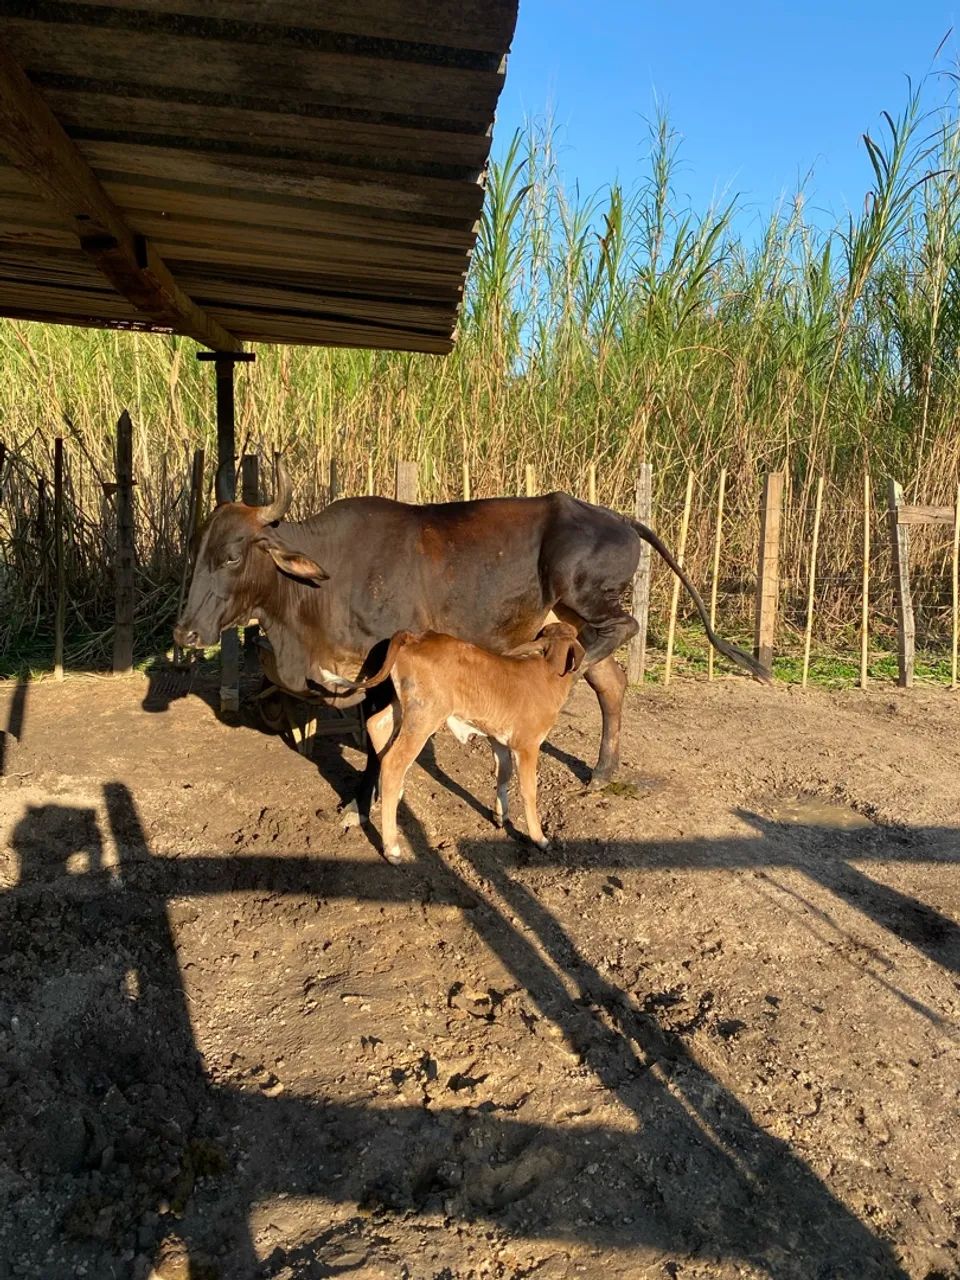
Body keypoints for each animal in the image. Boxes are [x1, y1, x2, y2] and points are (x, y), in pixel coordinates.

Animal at [174, 463, 768, 815]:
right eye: (196, 551)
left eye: (233, 555)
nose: (186, 630)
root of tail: (620, 517)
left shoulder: (378, 664)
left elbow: (374, 739)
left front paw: (363, 800)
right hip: (571, 616)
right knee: (612, 683)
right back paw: (602, 771)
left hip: (586, 597)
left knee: (623, 632)